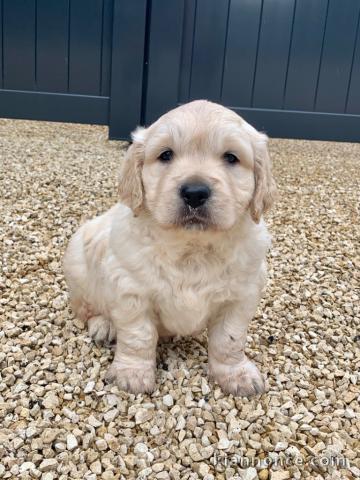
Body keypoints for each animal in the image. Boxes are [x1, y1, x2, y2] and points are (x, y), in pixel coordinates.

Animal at [64, 99, 276, 396]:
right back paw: (104, 325)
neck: (191, 248)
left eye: (231, 158)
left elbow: (229, 339)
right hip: (77, 263)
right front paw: (133, 373)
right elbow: (138, 336)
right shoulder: (131, 290)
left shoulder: (242, 294)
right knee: (87, 308)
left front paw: (237, 374)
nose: (195, 193)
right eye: (165, 155)